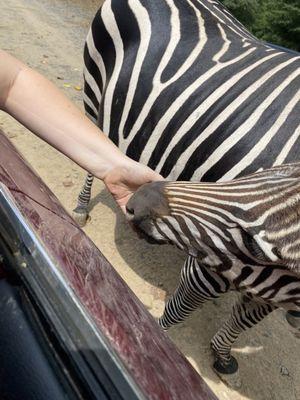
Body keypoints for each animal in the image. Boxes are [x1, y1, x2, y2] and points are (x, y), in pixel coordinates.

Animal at [125, 162, 300, 388]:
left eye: (254, 246)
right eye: (261, 172)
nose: (136, 201)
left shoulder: (269, 291)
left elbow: (243, 319)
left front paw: (222, 356)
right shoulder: (203, 271)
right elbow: (178, 310)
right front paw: (155, 338)